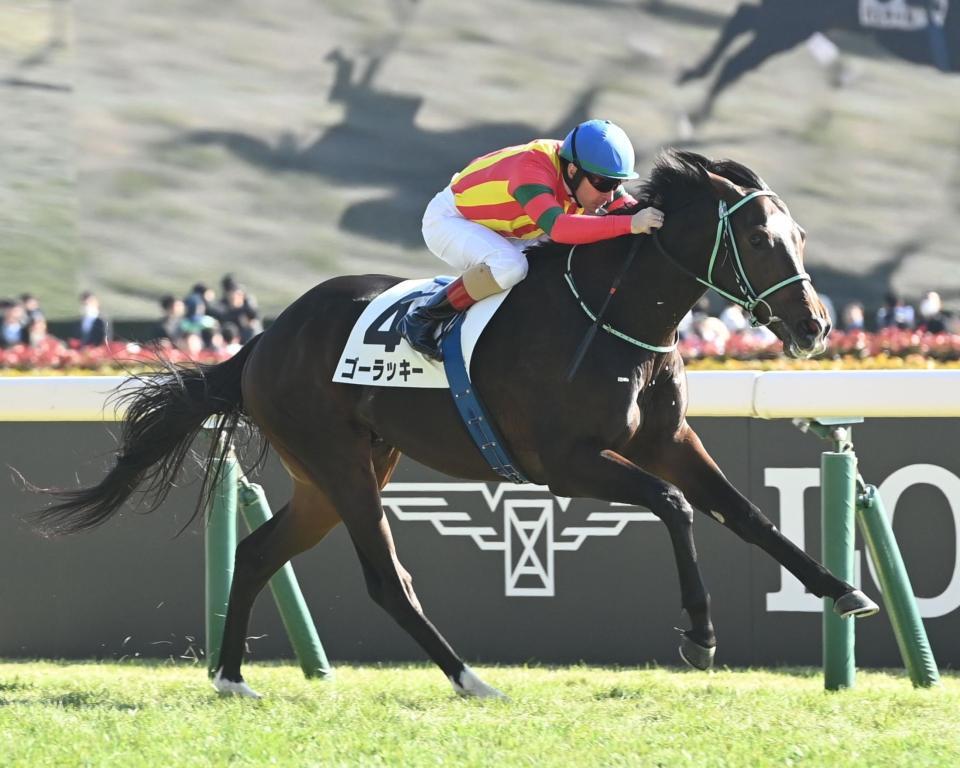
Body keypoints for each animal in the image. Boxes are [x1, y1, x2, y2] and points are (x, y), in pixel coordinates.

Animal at [34, 149, 879, 699]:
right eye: (762, 240)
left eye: (800, 238)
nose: (814, 326)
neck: (610, 316)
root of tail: (262, 342)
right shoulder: (564, 461)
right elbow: (675, 507)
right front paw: (700, 634)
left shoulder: (665, 441)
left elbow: (743, 512)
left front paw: (841, 591)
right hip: (340, 466)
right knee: (386, 579)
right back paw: (470, 677)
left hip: (338, 473)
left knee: (259, 549)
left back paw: (232, 677)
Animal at [677, 0, 957, 123]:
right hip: (791, 25)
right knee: (739, 56)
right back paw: (699, 108)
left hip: (791, 23)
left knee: (743, 19)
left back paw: (695, 77)